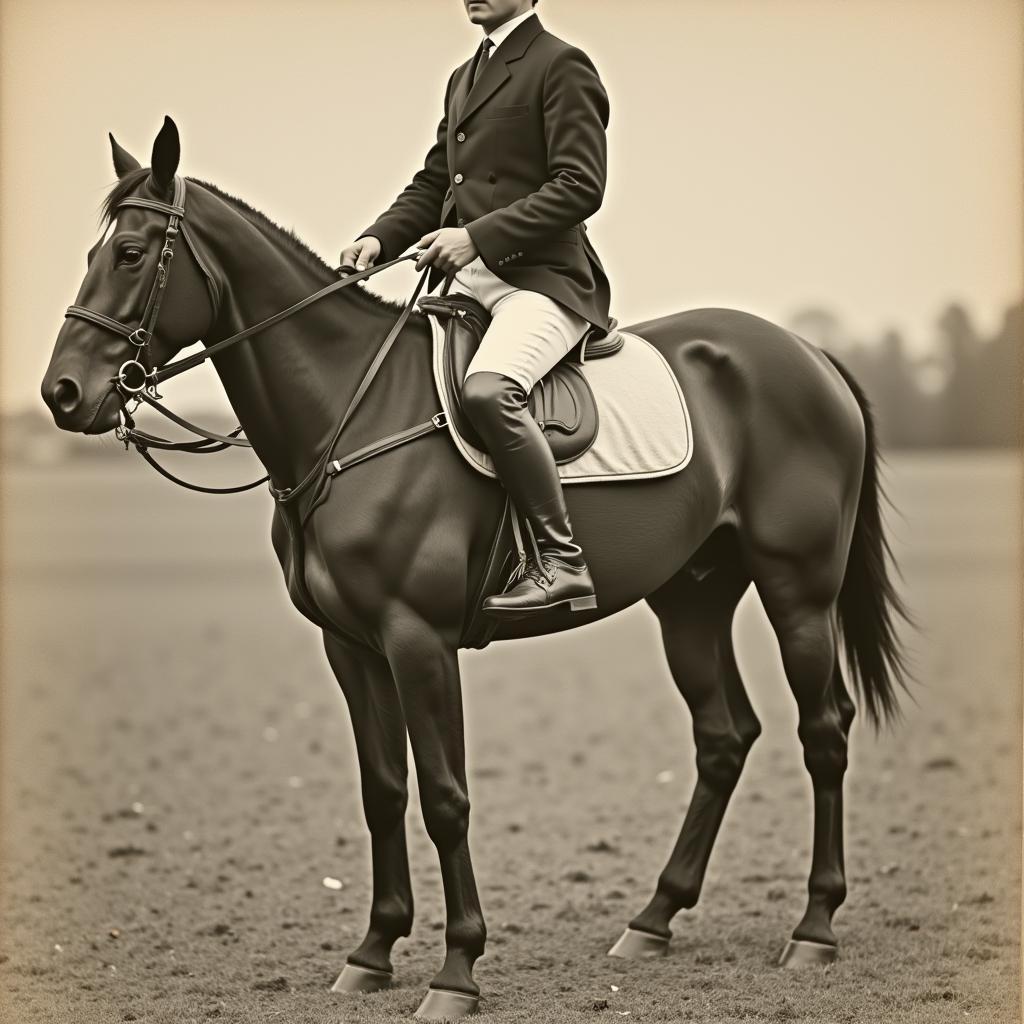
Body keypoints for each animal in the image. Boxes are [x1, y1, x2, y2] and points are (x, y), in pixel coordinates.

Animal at [39, 117, 909, 1015]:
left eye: (131, 253)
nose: (62, 394)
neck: (350, 412)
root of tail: (807, 353)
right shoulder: (351, 646)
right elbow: (384, 791)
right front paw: (373, 952)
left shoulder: (417, 639)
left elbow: (445, 796)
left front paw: (456, 969)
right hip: (690, 601)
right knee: (723, 737)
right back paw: (653, 920)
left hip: (797, 590)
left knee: (823, 731)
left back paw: (814, 928)